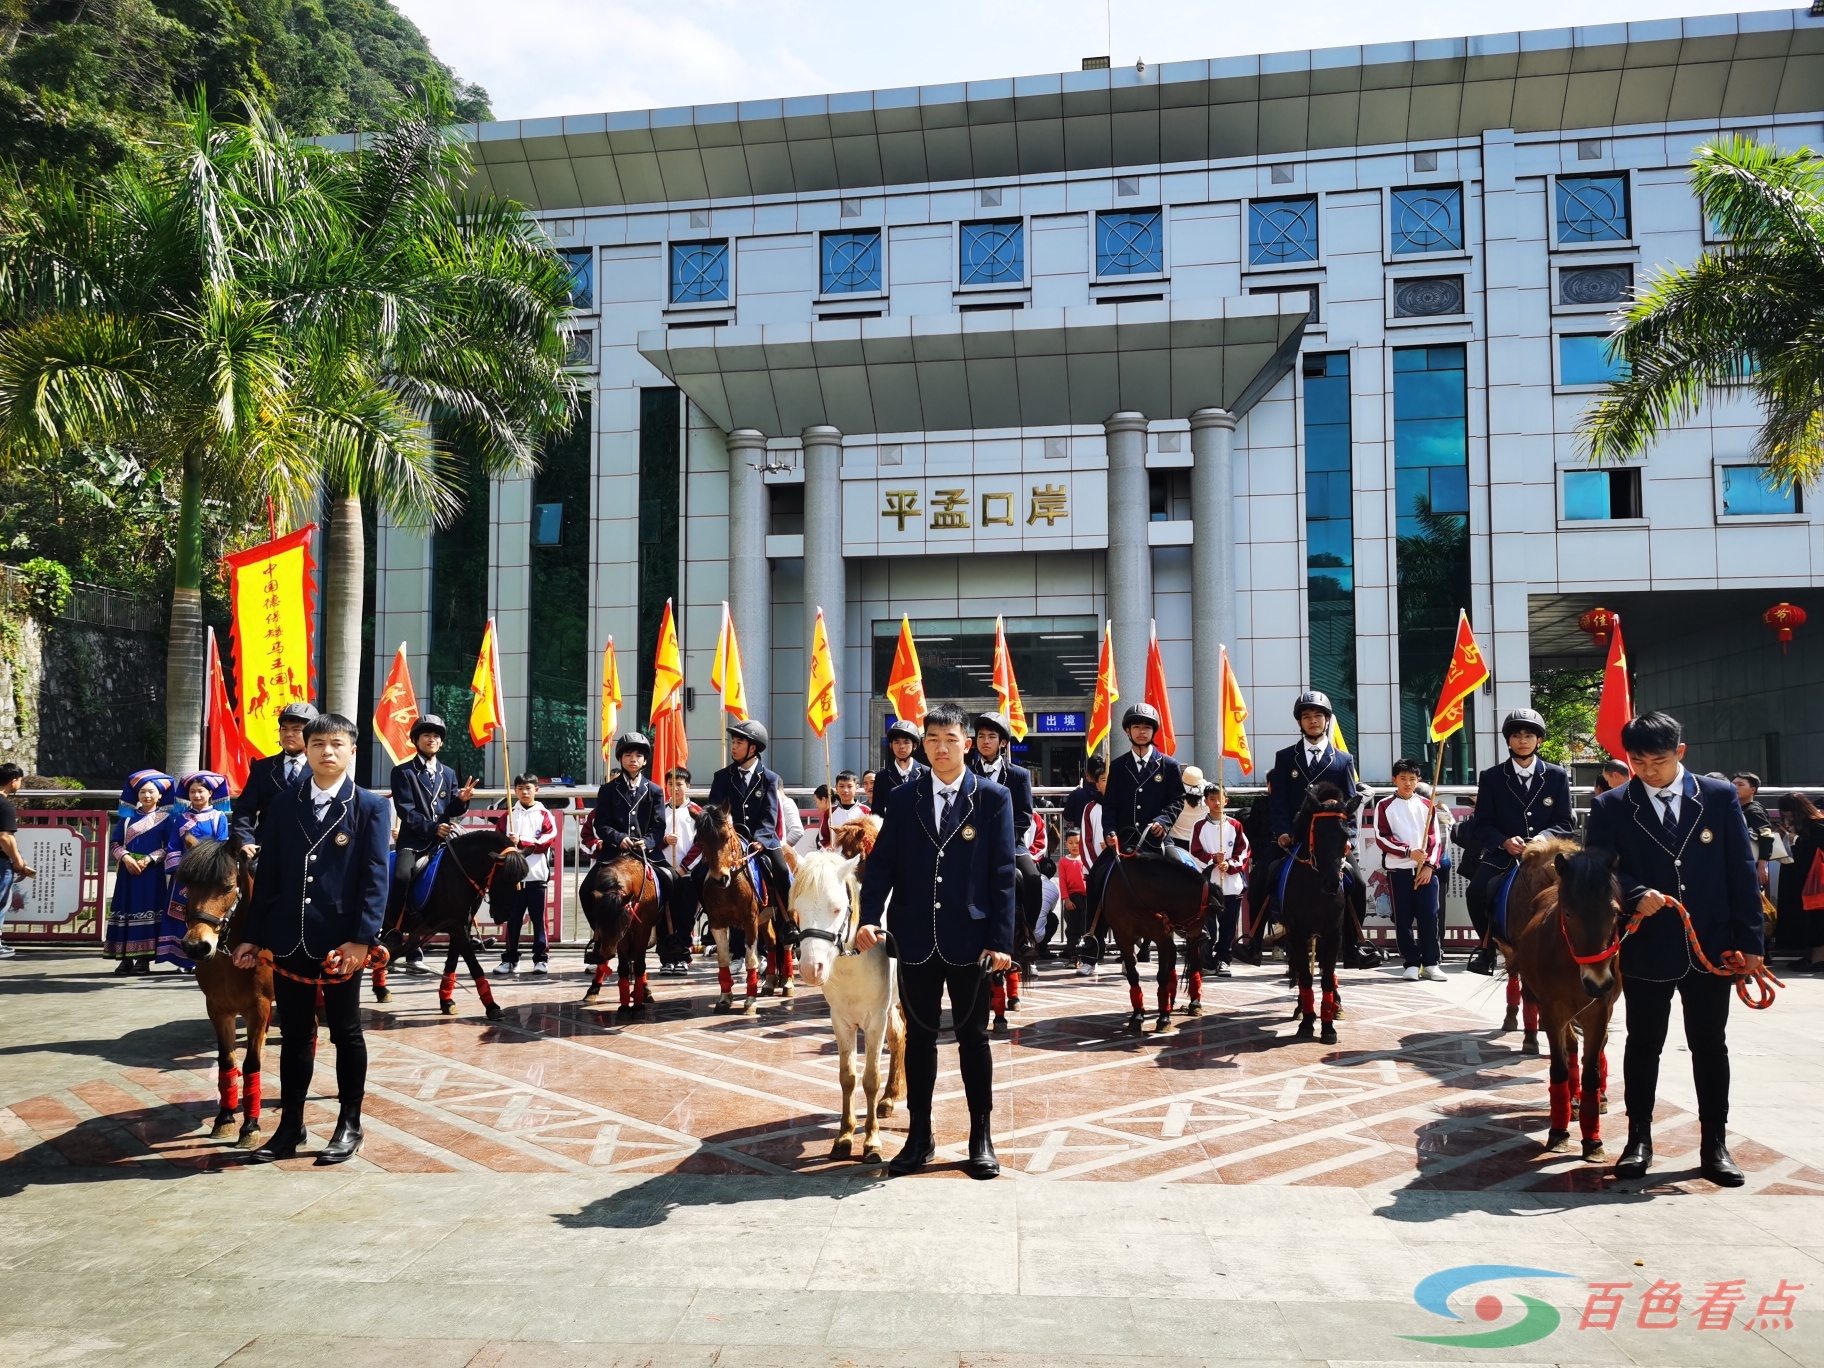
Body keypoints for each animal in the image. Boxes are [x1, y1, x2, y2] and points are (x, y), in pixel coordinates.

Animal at [175, 846, 277, 1145]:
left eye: (229, 886)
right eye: (187, 887)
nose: (196, 946)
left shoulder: (259, 1007)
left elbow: (252, 1063)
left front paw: (250, 1125)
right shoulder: (219, 1009)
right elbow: (227, 1060)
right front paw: (225, 1117)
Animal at [580, 860, 667, 1014]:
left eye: (622, 924)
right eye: (599, 920)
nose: (607, 951)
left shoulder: (642, 931)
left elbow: (639, 965)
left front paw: (638, 1002)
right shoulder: (620, 939)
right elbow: (623, 967)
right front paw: (625, 1004)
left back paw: (645, 991)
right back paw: (593, 990)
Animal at [791, 853, 904, 1160]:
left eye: (837, 908)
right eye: (797, 910)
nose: (811, 969)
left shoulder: (875, 1020)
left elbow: (871, 1079)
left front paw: (872, 1141)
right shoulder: (840, 1021)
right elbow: (848, 1078)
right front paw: (844, 1136)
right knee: (899, 1038)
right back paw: (889, 1098)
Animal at [1510, 853, 1627, 1160]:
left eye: (1614, 912)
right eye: (1569, 914)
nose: (1598, 983)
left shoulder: (1599, 1012)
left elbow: (1592, 1072)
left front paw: (1593, 1141)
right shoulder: (1553, 1012)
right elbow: (1560, 1068)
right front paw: (1559, 1132)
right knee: (1572, 1046)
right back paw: (1573, 1101)